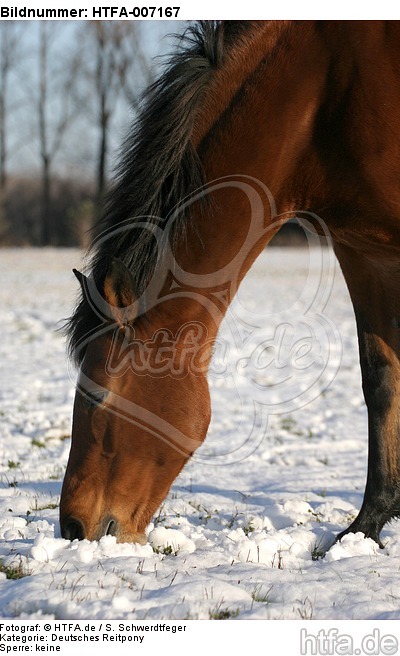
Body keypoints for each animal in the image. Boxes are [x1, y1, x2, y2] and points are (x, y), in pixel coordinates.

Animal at [61, 20, 400, 547]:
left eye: (97, 393)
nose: (72, 527)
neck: (325, 92)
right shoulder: (364, 250)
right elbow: (380, 378)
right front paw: (366, 527)